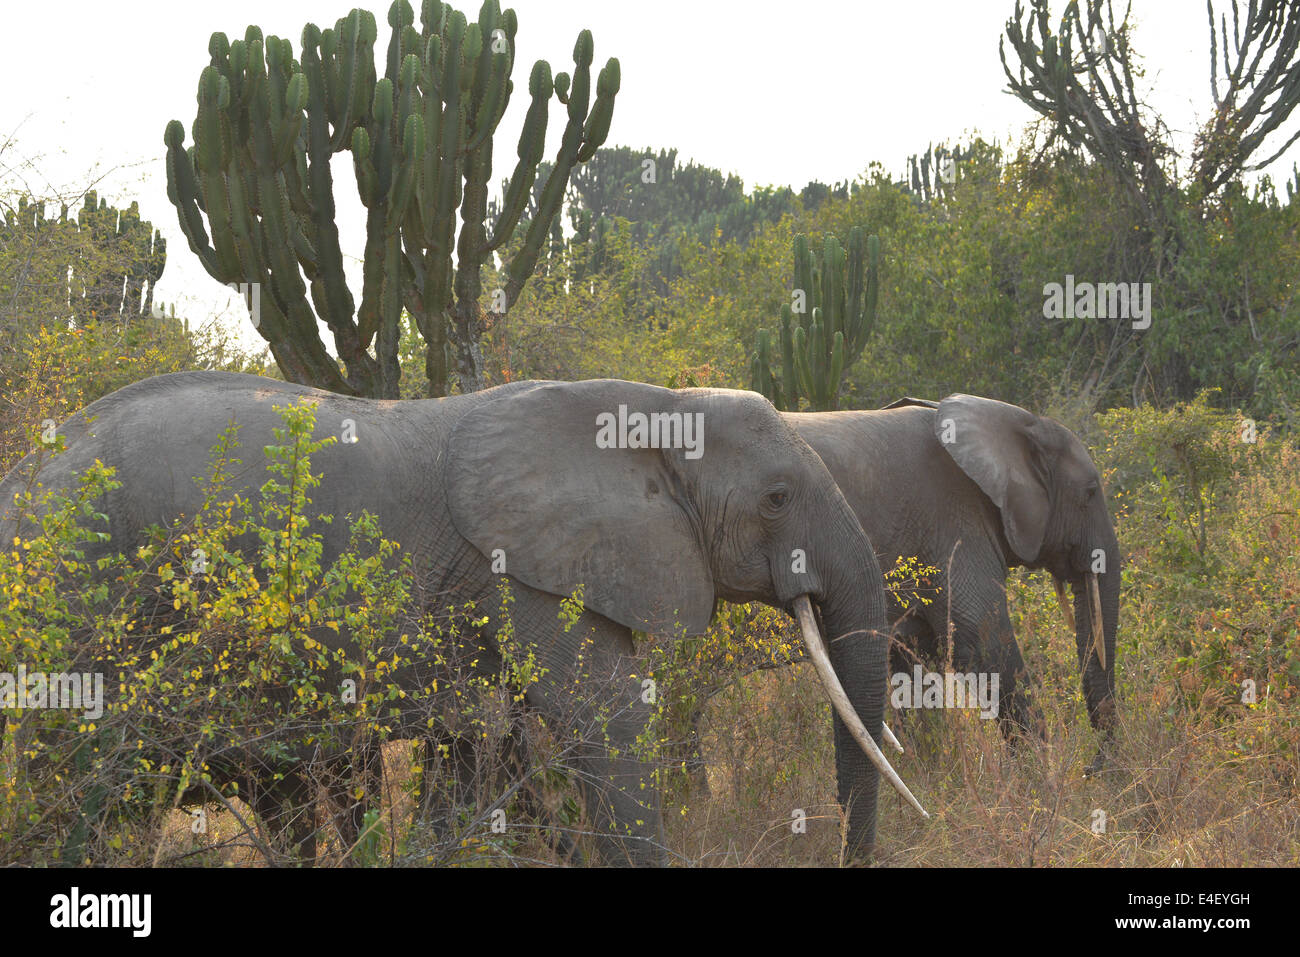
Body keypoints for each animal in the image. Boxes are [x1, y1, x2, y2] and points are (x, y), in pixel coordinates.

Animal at [0, 369, 925, 863]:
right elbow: (607, 714)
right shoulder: (521, 569)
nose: (848, 850)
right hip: (81, 603)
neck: (650, 404)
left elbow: (469, 741)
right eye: (777, 499)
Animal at [774, 392, 1123, 759]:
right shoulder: (953, 526)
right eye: (1090, 492)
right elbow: (985, 642)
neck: (1019, 421)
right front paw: (1041, 768)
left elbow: (911, 661)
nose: (1095, 765)